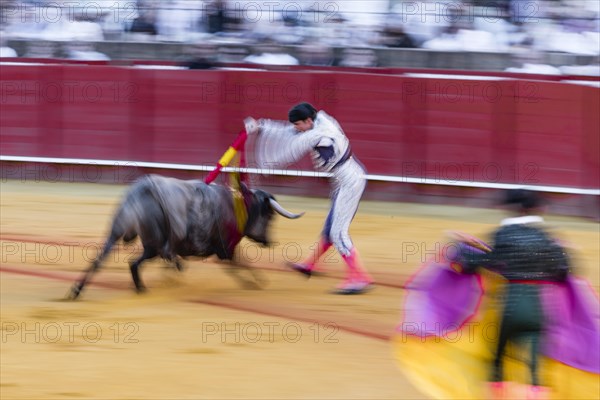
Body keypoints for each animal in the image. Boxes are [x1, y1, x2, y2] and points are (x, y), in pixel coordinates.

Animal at [68, 173, 304, 298]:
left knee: (103, 259)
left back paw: (78, 290)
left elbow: (237, 265)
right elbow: (241, 263)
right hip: (153, 245)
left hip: (118, 230)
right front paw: (257, 282)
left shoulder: (222, 250)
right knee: (139, 261)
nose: (269, 242)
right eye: (269, 216)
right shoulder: (225, 248)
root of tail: (141, 191)